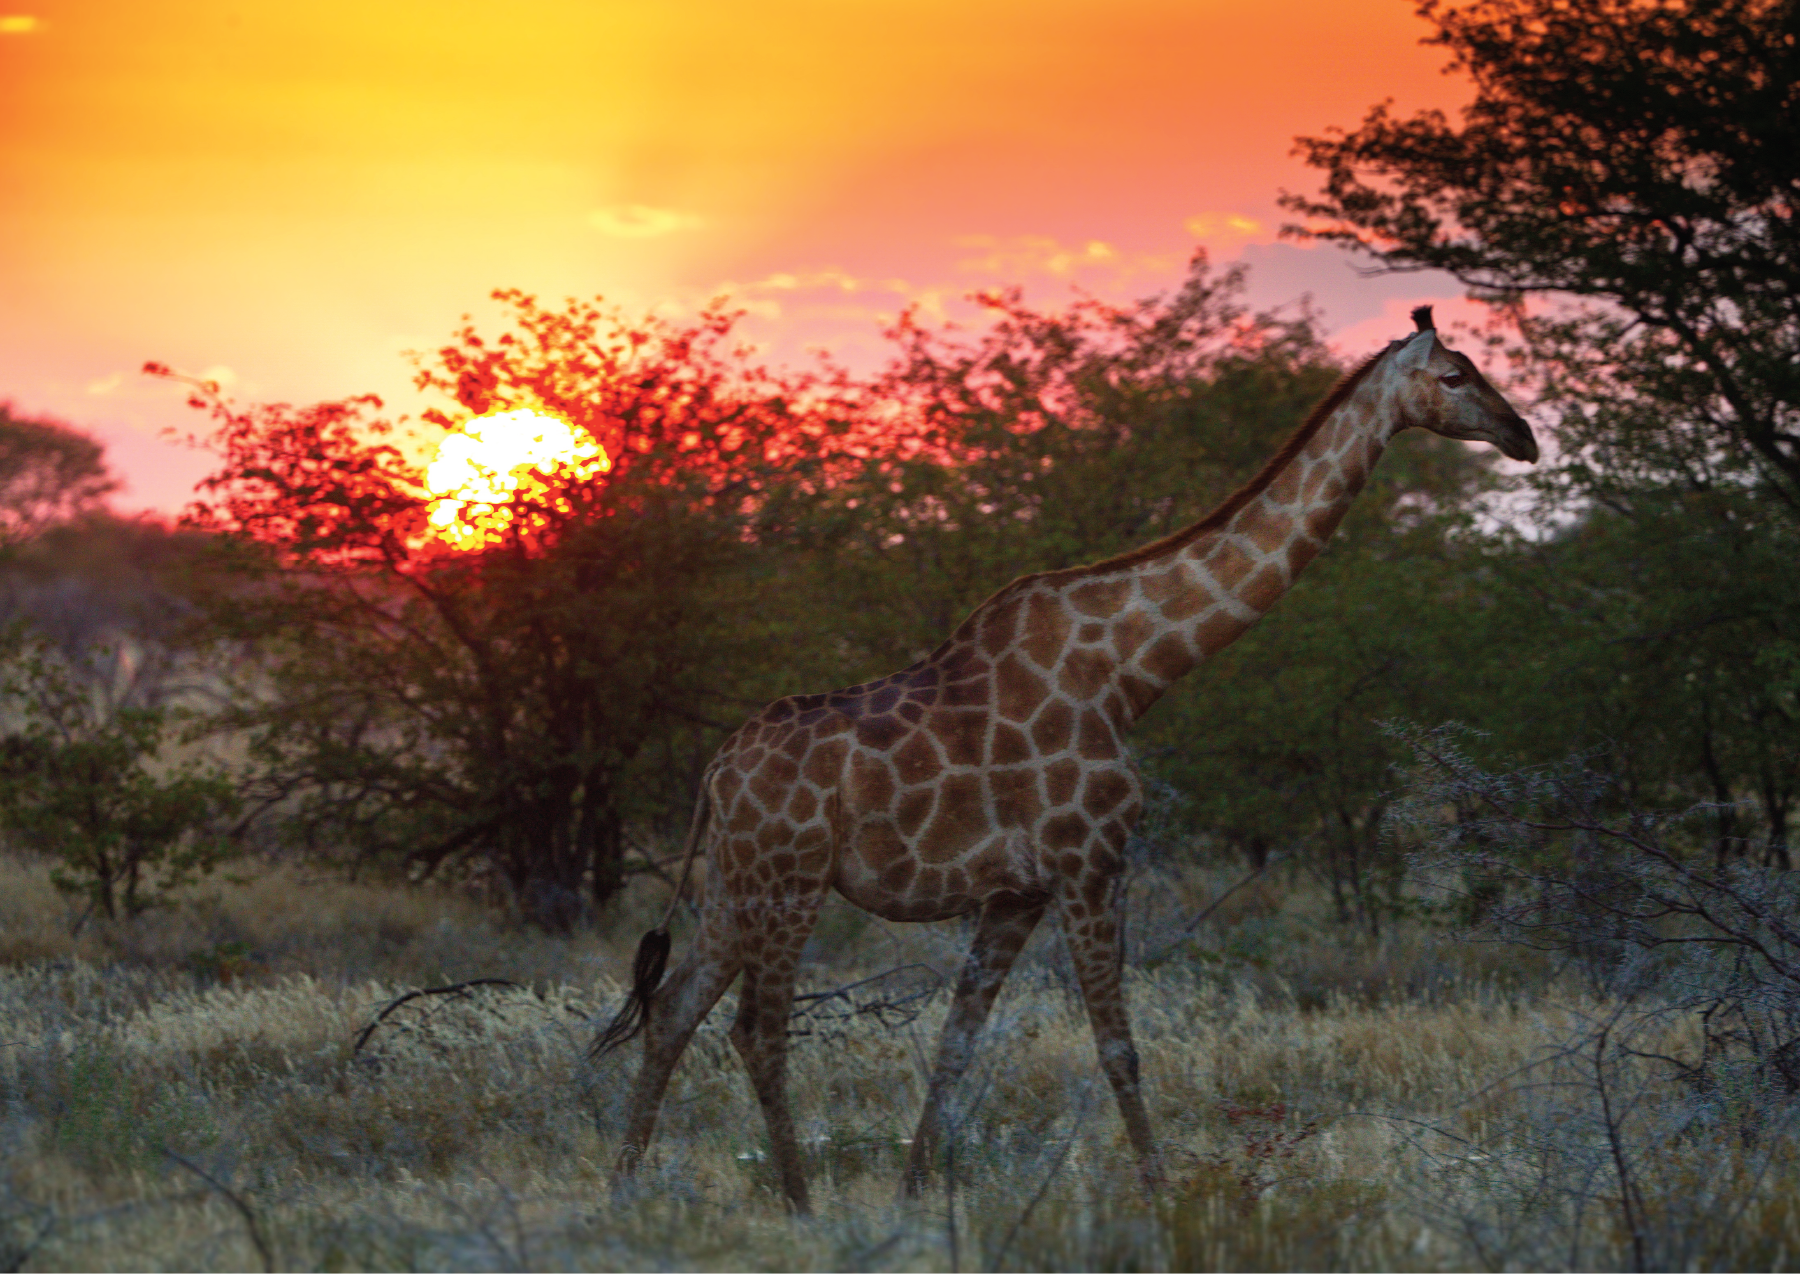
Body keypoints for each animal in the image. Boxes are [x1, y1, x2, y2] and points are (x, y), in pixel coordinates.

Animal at [590, 305, 1533, 1216]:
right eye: (1456, 374)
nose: (1523, 435)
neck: (1130, 668)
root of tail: (716, 773)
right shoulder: (1091, 861)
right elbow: (1118, 1045)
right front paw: (1160, 1196)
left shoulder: (1018, 891)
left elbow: (959, 1040)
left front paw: (916, 1191)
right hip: (789, 882)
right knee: (755, 1028)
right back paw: (795, 1201)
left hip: (733, 884)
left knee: (672, 1009)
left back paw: (627, 1186)